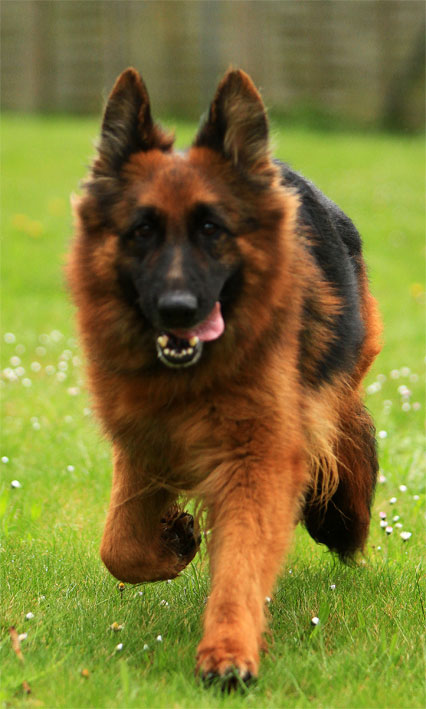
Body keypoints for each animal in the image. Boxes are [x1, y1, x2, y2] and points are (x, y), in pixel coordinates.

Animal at [67, 67, 382, 686]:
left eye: (212, 229)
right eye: (141, 231)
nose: (178, 310)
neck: (193, 379)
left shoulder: (257, 456)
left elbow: (241, 561)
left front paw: (229, 650)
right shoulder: (143, 441)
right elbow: (119, 545)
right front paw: (173, 541)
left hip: (336, 382)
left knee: (348, 429)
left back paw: (341, 520)